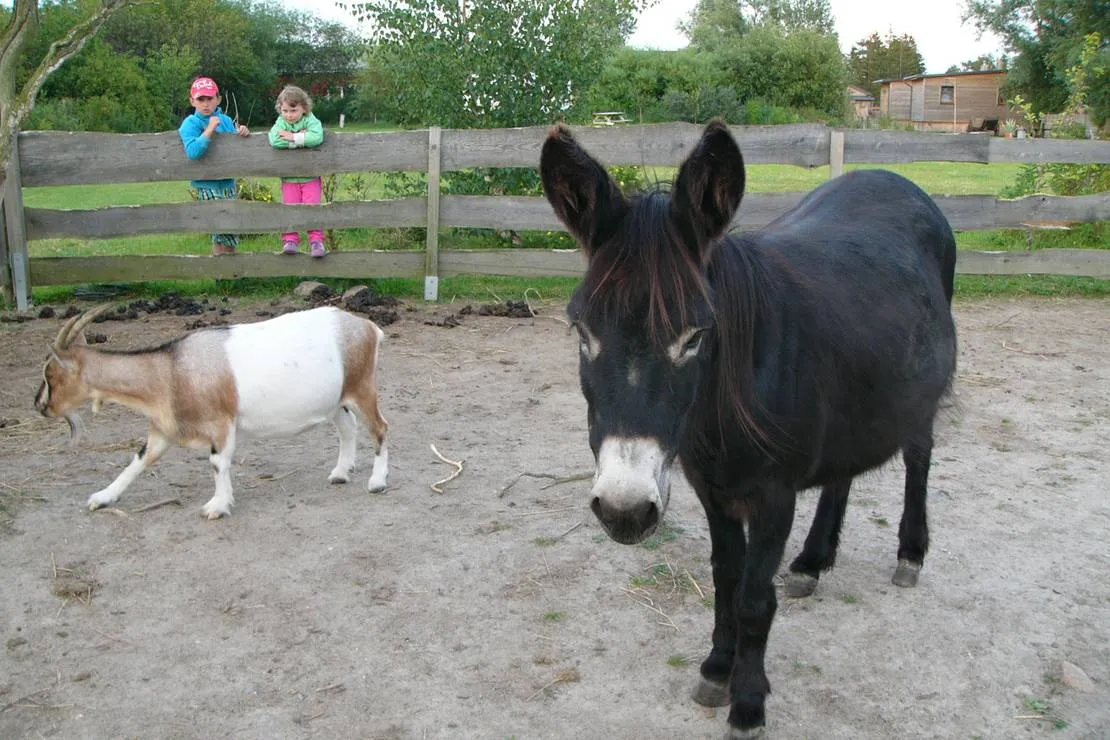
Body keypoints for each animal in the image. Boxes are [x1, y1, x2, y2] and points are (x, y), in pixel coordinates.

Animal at [539, 120, 957, 737]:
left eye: (695, 337)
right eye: (581, 331)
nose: (623, 511)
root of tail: (891, 176)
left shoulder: (773, 498)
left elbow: (755, 598)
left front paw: (748, 701)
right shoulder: (712, 491)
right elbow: (725, 580)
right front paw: (717, 668)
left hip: (918, 398)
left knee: (919, 457)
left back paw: (910, 553)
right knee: (842, 473)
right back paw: (811, 561)